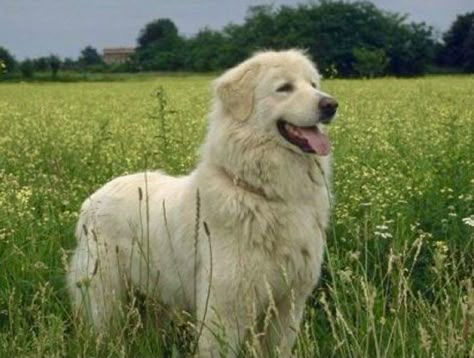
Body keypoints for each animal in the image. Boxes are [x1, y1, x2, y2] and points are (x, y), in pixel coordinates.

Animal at [68, 49, 338, 356]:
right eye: (284, 88)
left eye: (313, 84)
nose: (331, 105)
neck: (266, 193)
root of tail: (93, 199)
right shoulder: (225, 306)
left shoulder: (288, 304)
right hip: (105, 297)